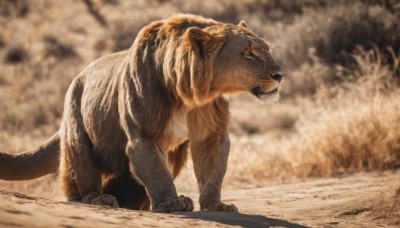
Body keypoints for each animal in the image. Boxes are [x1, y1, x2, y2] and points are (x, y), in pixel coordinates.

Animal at [0, 14, 284, 213]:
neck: (190, 96)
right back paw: (96, 199)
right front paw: (171, 203)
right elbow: (157, 174)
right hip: (76, 131)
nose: (280, 74)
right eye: (247, 53)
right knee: (80, 176)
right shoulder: (143, 136)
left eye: (267, 49)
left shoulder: (211, 134)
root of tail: (77, 78)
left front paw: (216, 205)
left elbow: (213, 171)